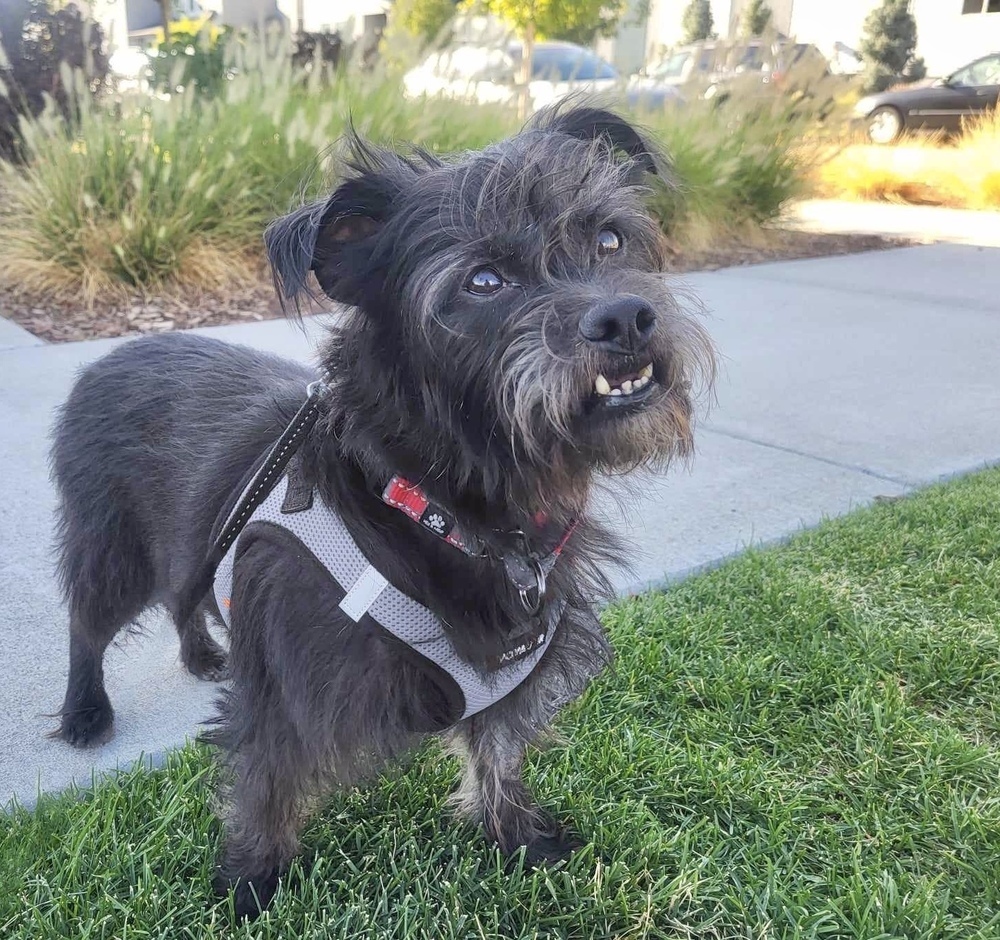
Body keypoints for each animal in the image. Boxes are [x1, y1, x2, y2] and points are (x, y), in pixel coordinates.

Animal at [50, 104, 716, 916]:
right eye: (484, 280)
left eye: (611, 239)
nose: (626, 317)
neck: (442, 509)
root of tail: (109, 355)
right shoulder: (281, 692)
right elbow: (265, 786)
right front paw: (250, 889)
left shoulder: (505, 680)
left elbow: (497, 759)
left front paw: (520, 841)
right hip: (114, 547)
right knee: (88, 625)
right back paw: (86, 712)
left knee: (186, 595)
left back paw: (204, 653)